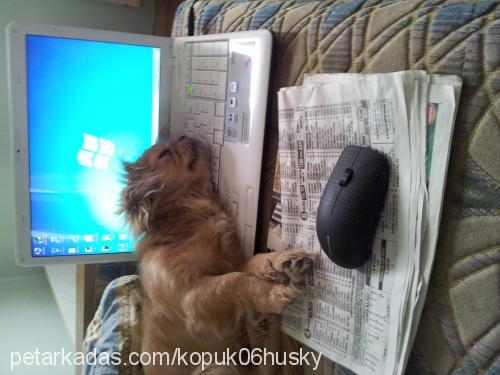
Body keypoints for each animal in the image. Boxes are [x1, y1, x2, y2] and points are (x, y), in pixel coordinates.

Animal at [120, 137, 312, 375]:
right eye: (164, 154)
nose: (184, 136)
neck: (188, 226)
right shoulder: (192, 299)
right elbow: (236, 280)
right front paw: (274, 294)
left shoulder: (233, 262)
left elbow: (252, 262)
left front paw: (279, 260)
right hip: (216, 366)